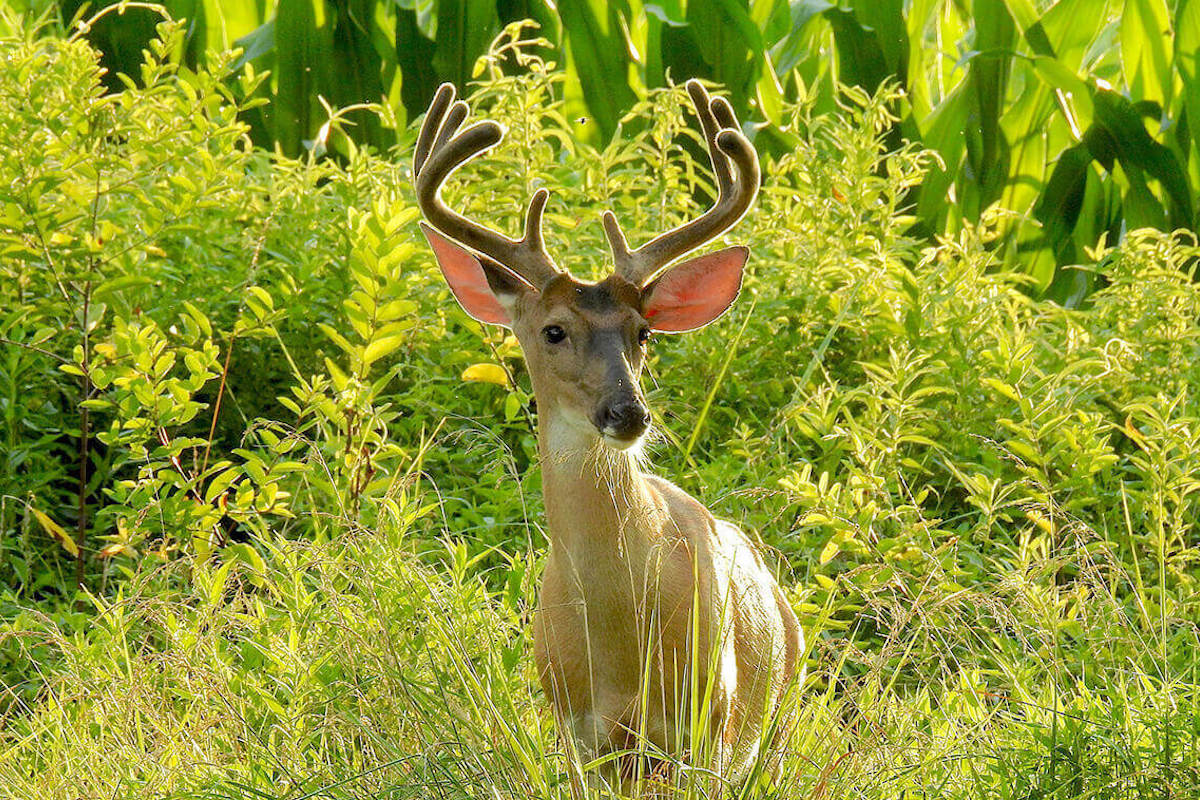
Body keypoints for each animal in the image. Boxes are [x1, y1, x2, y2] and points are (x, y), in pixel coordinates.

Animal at [415, 79, 806, 796]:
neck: (624, 637)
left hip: (776, 713)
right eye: (553, 331)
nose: (629, 414)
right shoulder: (581, 734)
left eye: (643, 331)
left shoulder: (709, 723)